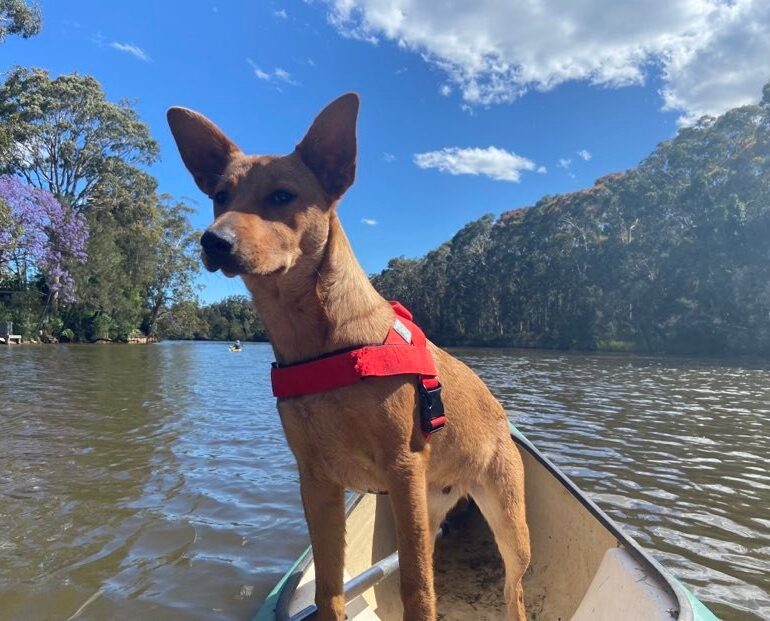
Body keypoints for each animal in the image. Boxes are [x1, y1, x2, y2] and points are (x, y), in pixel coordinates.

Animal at [167, 93, 528, 620]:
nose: (213, 240)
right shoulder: (317, 482)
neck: (320, 344)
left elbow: (418, 590)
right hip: (429, 507)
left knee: (511, 589)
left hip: (506, 522)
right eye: (220, 194)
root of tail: (501, 414)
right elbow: (329, 588)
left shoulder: (402, 469)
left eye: (282, 196)